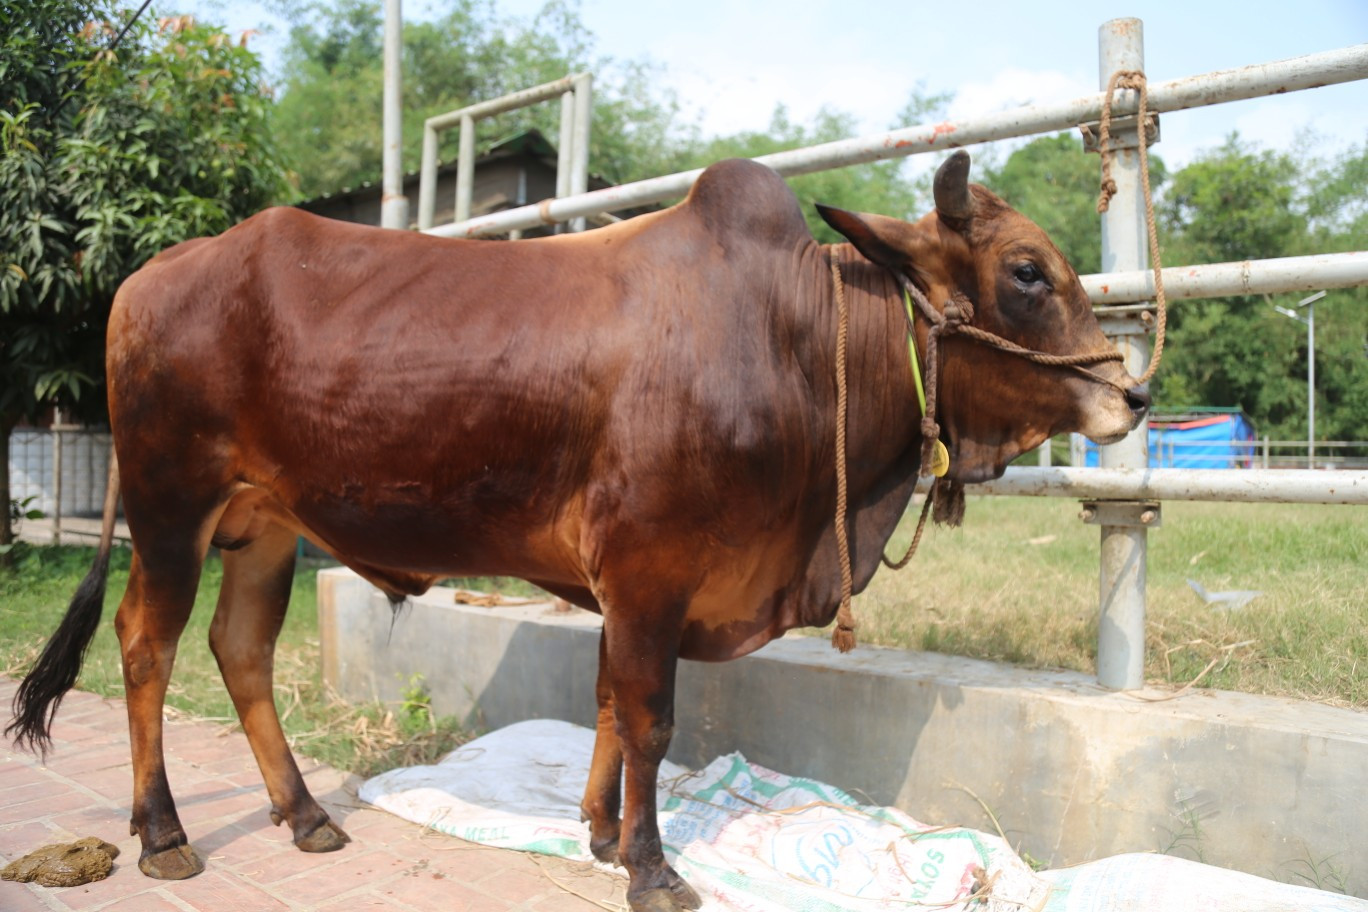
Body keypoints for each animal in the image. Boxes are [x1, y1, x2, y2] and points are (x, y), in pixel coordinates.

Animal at [9, 151, 1148, 912]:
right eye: (1027, 271)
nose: (1131, 394)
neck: (793, 338)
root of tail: (149, 276)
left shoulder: (629, 584)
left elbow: (605, 701)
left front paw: (599, 833)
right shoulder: (651, 569)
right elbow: (648, 719)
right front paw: (650, 865)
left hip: (265, 526)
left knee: (239, 650)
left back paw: (306, 816)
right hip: (171, 507)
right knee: (147, 647)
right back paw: (163, 833)